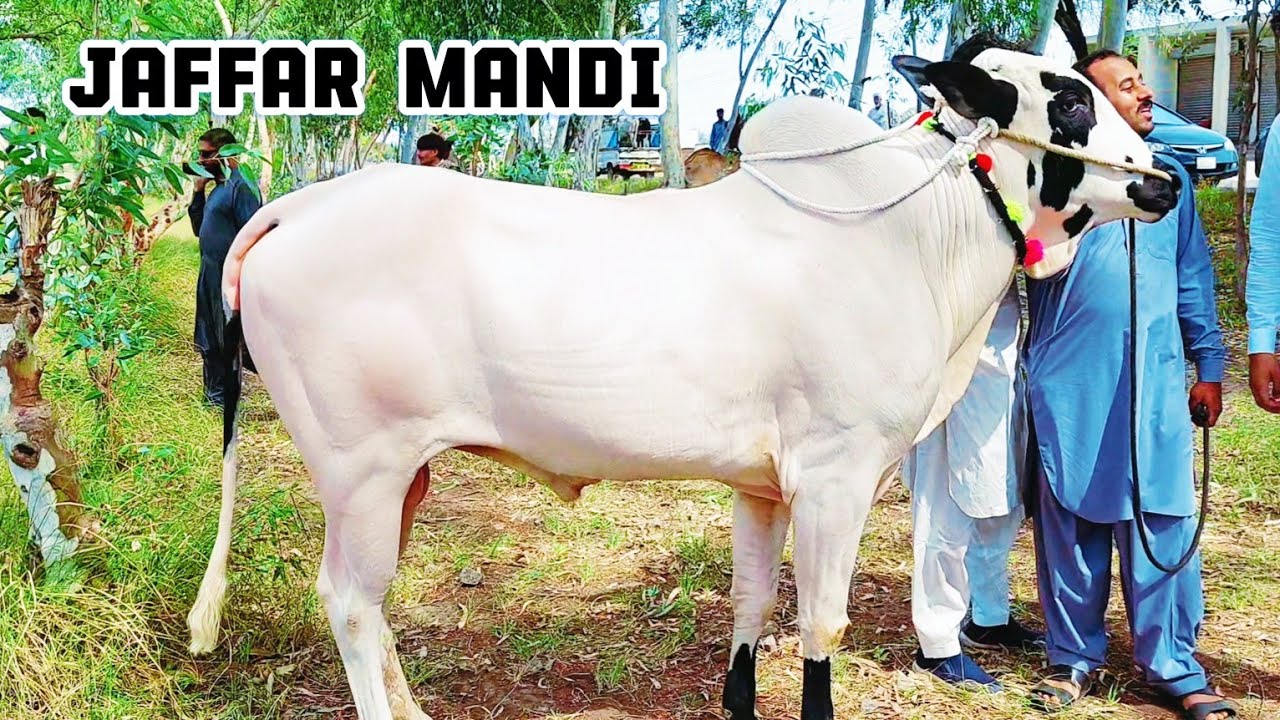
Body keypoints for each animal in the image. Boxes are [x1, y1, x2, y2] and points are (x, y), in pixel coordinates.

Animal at [185, 41, 1178, 720]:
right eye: (1070, 99)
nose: (1167, 177)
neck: (916, 230)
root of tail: (300, 205)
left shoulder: (765, 486)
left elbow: (752, 603)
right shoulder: (838, 476)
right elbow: (820, 625)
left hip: (403, 476)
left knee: (371, 601)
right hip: (363, 470)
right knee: (351, 604)